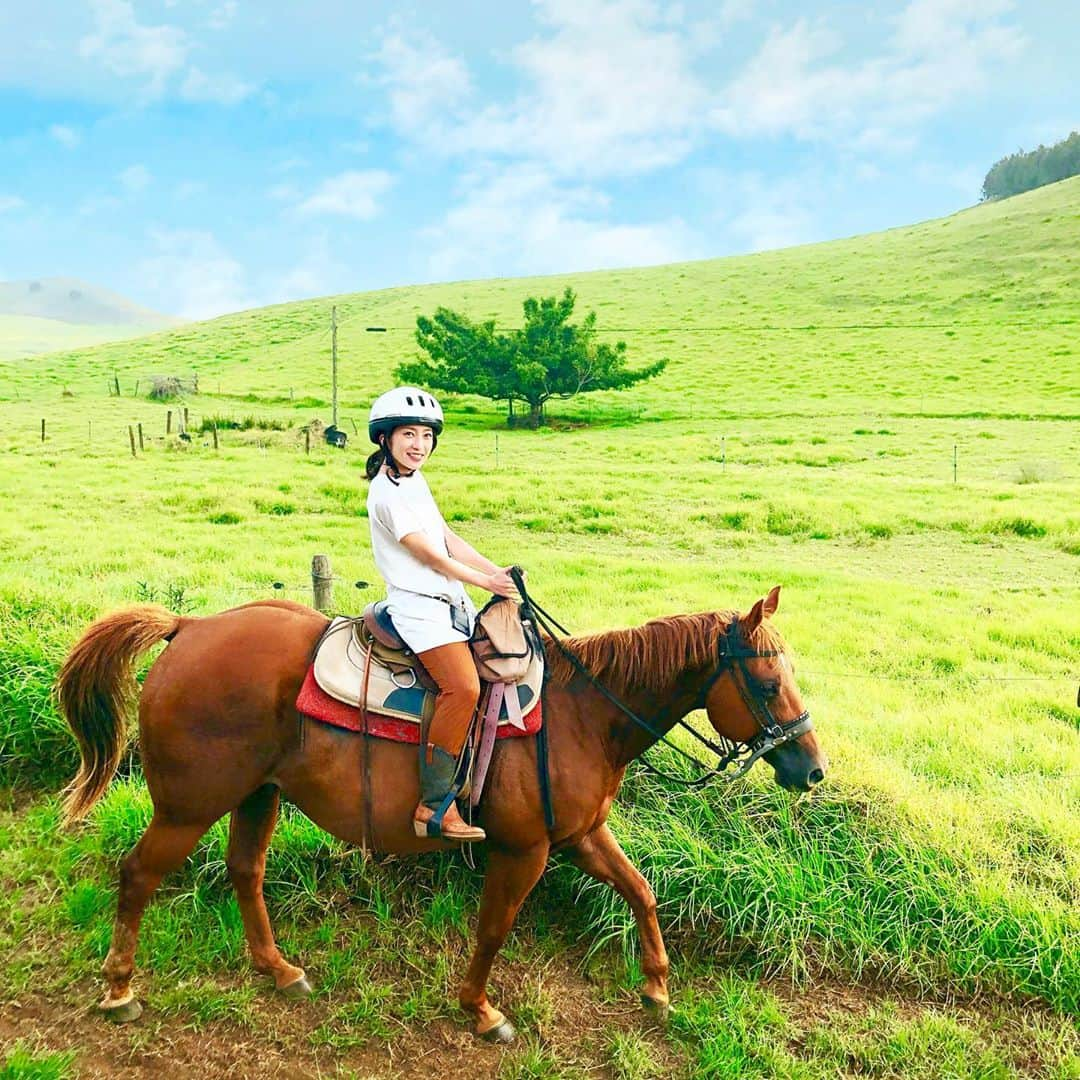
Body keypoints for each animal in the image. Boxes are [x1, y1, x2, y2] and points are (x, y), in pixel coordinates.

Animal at [56, 587, 825, 1041]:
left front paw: (658, 988)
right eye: (766, 682)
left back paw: (279, 971)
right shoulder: (524, 850)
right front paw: (481, 1010)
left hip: (257, 794)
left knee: (245, 871)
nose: (811, 769)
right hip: (189, 805)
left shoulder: (581, 835)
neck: (585, 713)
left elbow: (642, 891)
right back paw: (119, 990)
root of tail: (187, 627)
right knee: (138, 875)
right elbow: (493, 929)